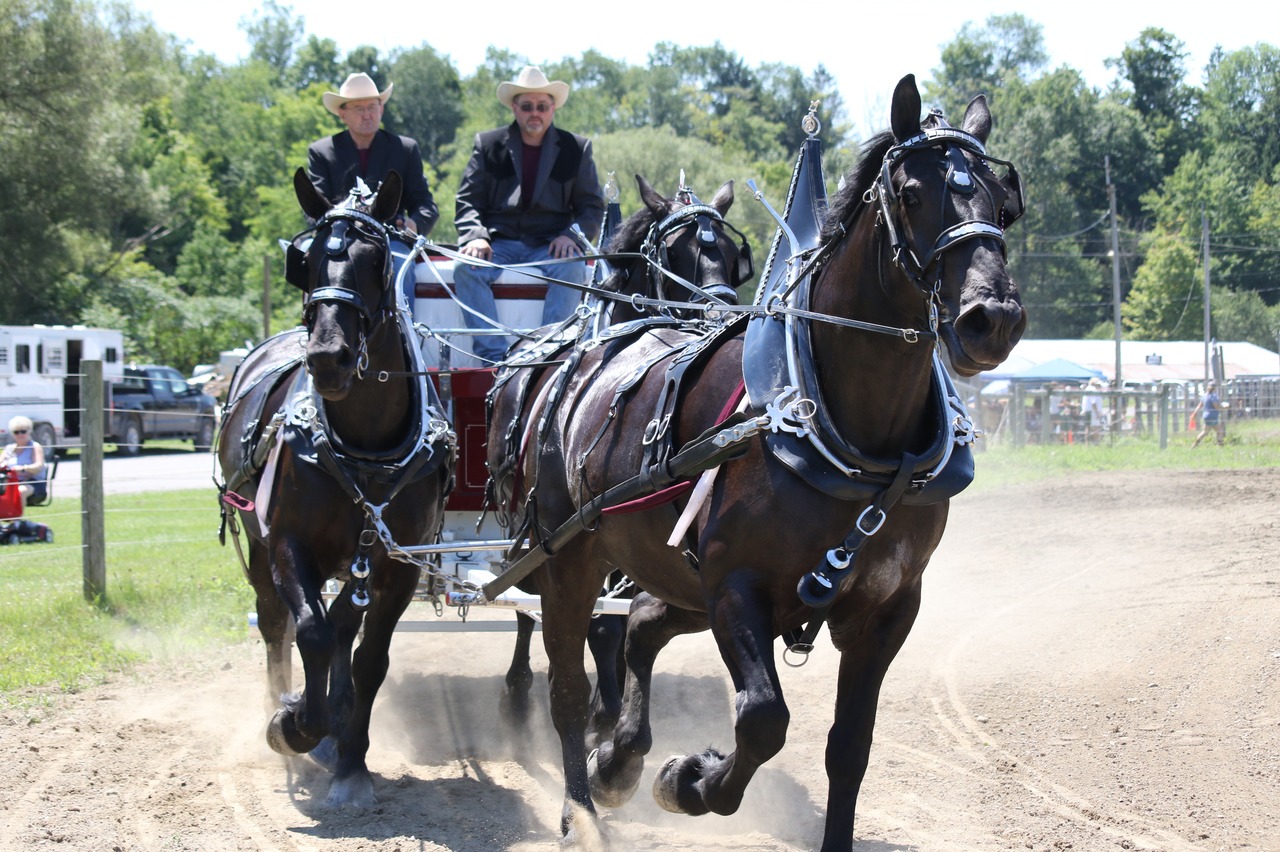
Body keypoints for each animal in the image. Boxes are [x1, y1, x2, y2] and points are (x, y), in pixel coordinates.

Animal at [218, 168, 455, 808]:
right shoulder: (287, 546)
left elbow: (369, 655)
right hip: (258, 547)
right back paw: (289, 707)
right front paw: (296, 723)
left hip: (360, 563)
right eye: (304, 261)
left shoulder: (398, 564)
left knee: (346, 626)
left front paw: (351, 759)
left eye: (376, 259)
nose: (329, 357)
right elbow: (313, 633)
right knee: (278, 625)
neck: (365, 445)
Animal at [486, 171, 747, 736]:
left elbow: (613, 623)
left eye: (728, 251)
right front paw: (599, 713)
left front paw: (606, 711)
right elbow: (590, 622)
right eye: (676, 252)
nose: (720, 311)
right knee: (524, 600)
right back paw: (517, 688)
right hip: (524, 517)